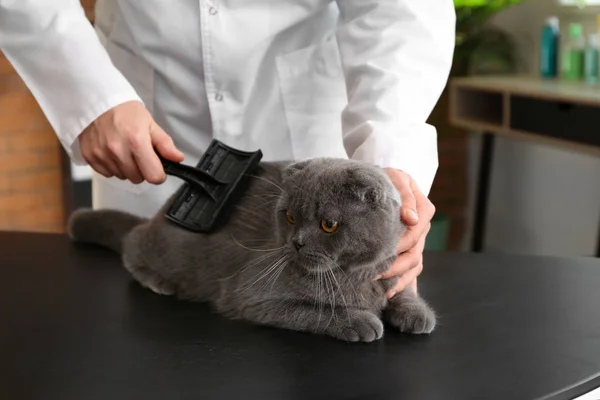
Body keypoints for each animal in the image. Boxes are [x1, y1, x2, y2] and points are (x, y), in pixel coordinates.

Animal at [69, 158, 436, 342]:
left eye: (328, 224)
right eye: (289, 216)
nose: (296, 242)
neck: (355, 275)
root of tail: (169, 207)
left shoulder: (392, 268)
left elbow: (401, 288)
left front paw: (416, 313)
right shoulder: (251, 297)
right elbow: (318, 310)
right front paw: (361, 322)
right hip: (171, 248)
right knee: (133, 241)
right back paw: (157, 281)